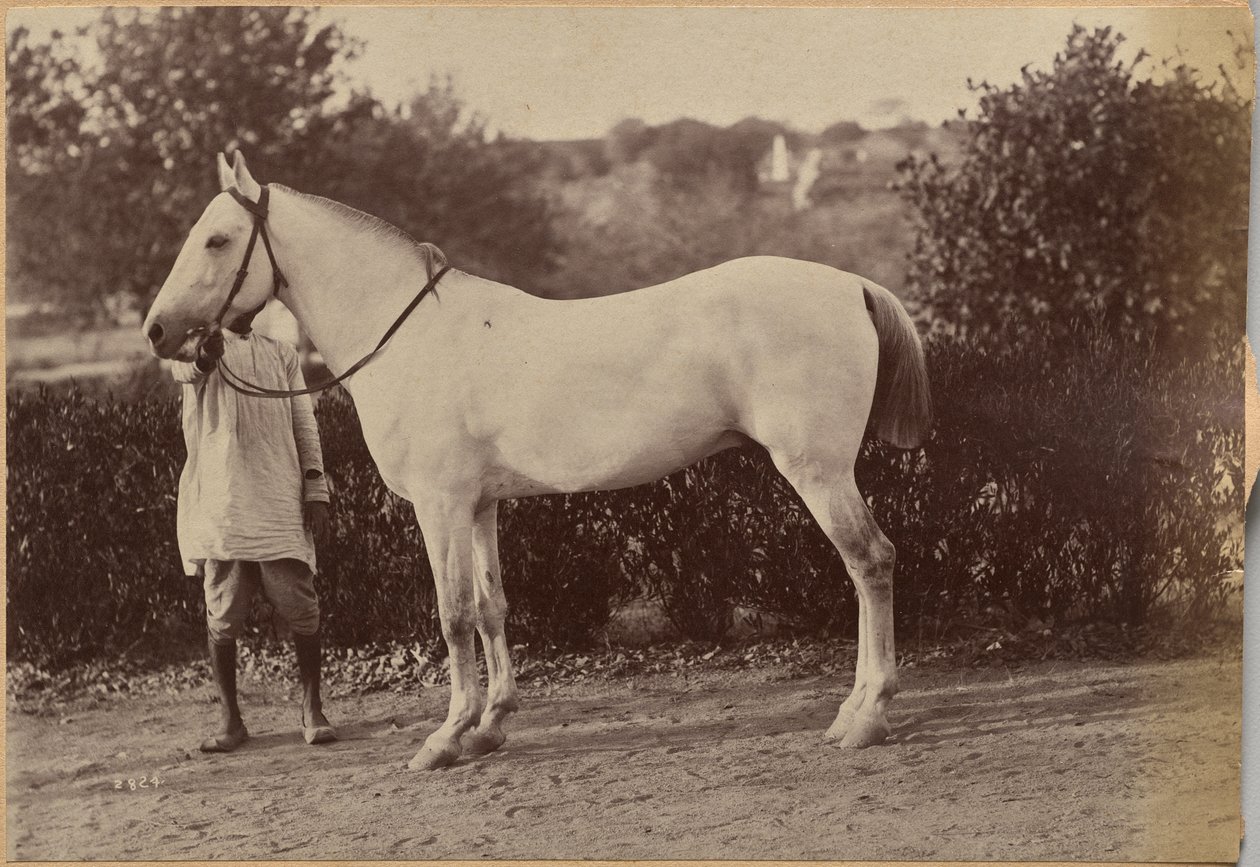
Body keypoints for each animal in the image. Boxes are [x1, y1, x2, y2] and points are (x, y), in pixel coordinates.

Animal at [144, 152, 932, 770]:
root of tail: (852, 285)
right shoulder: (480, 505)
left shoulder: (439, 506)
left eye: (217, 239)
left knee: (870, 561)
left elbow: (453, 613)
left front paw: (445, 737)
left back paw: (866, 715)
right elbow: (494, 607)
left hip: (817, 471)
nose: (157, 331)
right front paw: (489, 726)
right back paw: (854, 709)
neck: (409, 336)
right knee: (865, 566)